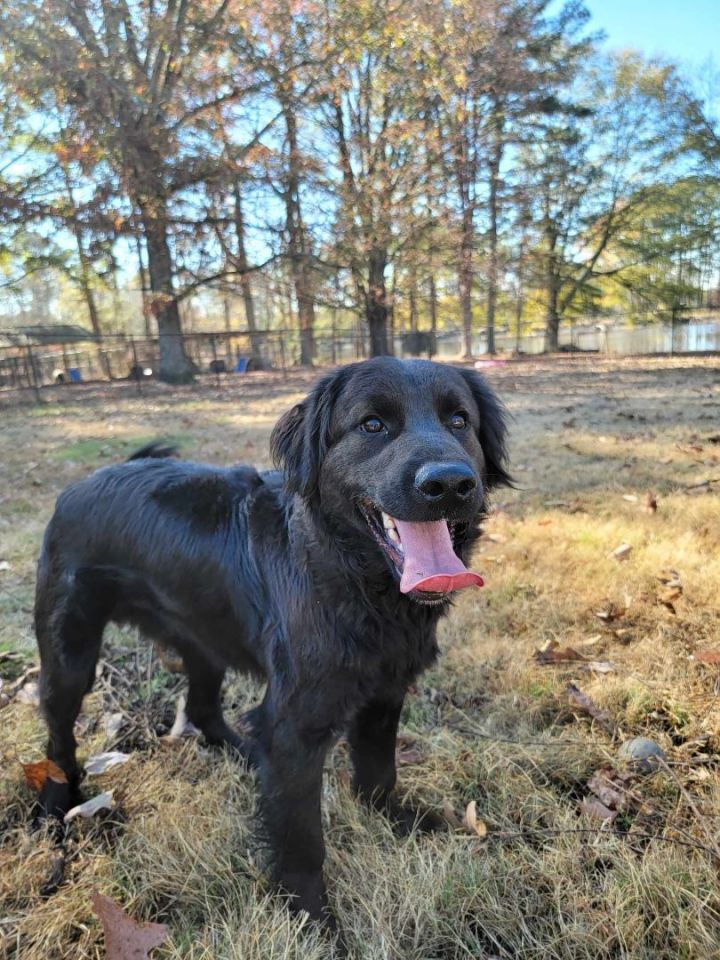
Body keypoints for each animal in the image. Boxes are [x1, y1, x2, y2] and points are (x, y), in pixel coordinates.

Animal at [32, 356, 506, 928]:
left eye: (459, 421)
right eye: (372, 425)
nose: (451, 483)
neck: (350, 577)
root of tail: (82, 483)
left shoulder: (384, 692)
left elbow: (379, 773)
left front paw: (396, 822)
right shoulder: (294, 725)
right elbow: (301, 837)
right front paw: (310, 916)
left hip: (204, 637)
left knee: (203, 707)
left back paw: (242, 754)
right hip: (69, 649)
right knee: (59, 733)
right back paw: (55, 802)